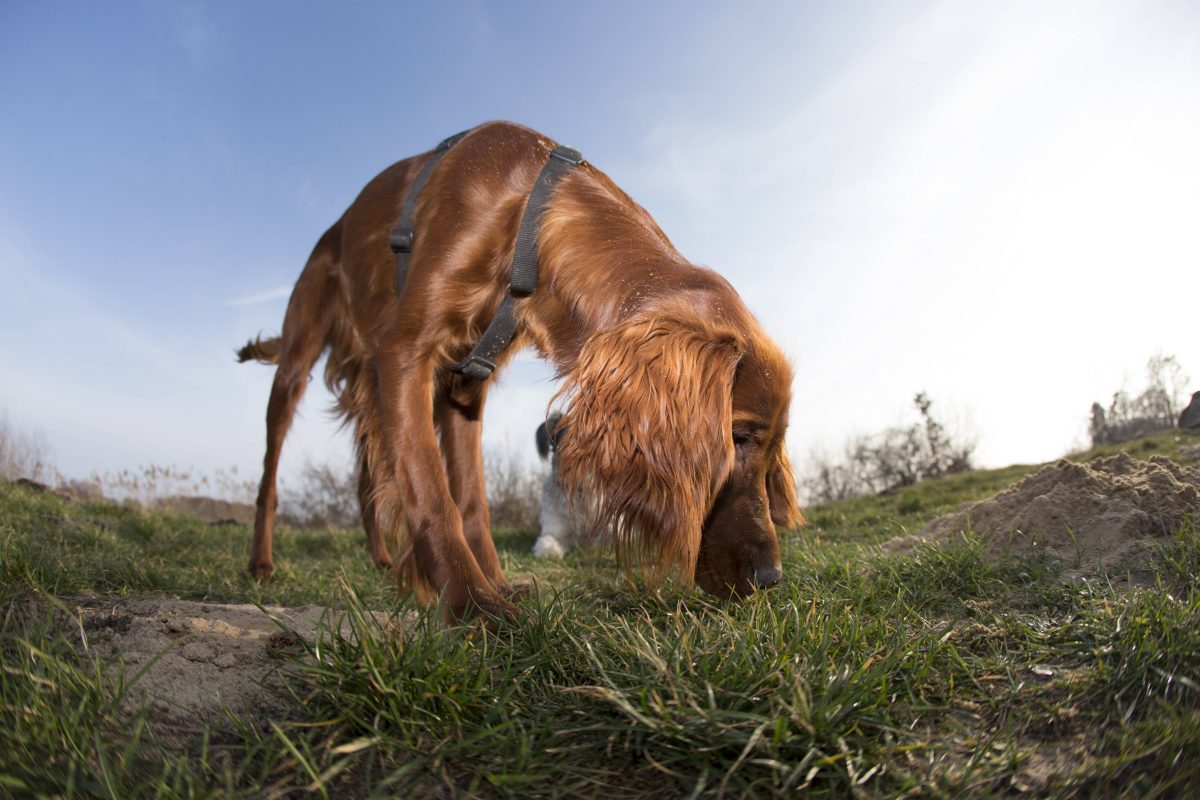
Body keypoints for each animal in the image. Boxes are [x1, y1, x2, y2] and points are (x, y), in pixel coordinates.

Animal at [238, 122, 801, 623]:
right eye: (738, 437)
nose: (771, 578)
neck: (528, 212)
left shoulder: (467, 381)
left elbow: (471, 498)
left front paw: (494, 583)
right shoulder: (403, 354)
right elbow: (431, 492)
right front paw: (473, 605)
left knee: (369, 474)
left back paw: (380, 558)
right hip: (297, 362)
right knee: (270, 472)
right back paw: (261, 563)